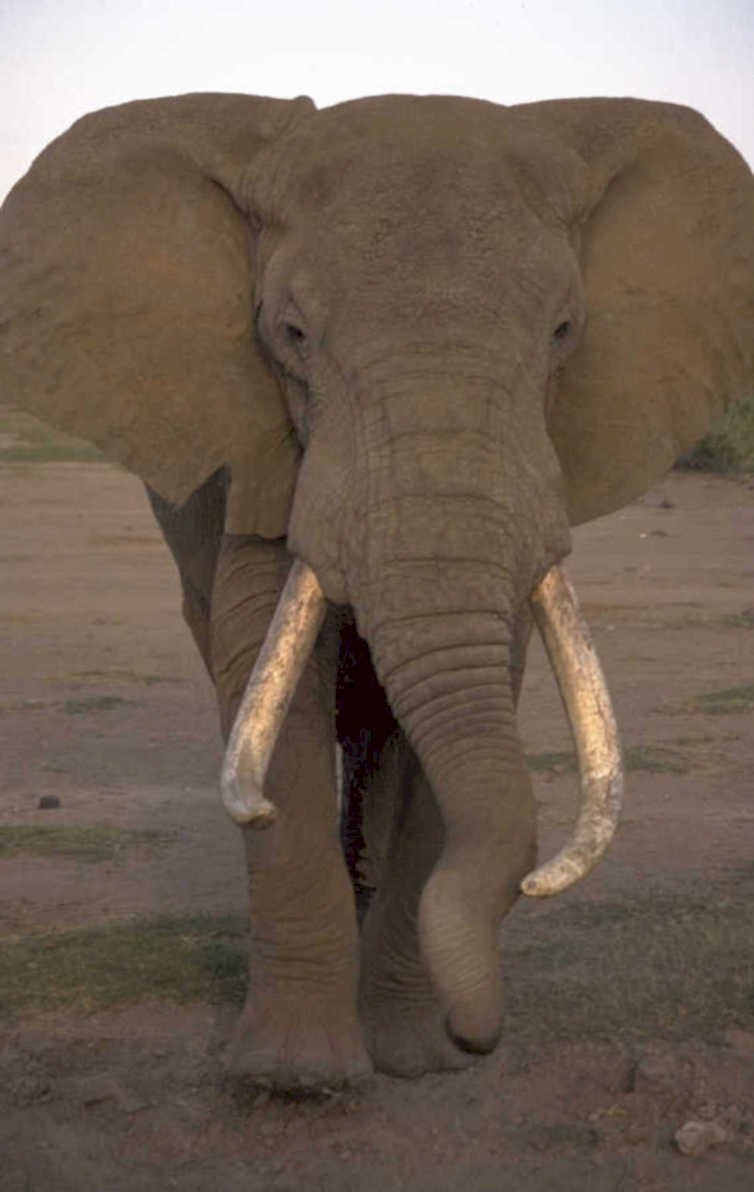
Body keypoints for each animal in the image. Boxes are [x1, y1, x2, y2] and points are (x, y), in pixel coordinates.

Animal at [1, 92, 752, 1091]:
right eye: (290, 336)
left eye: (563, 333)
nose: (482, 1039)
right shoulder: (264, 449)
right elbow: (268, 679)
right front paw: (296, 1080)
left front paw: (416, 1060)